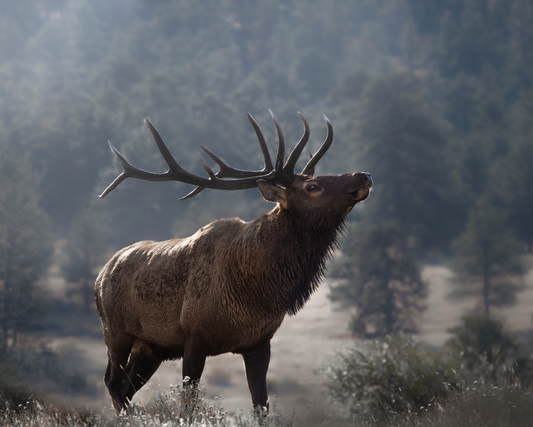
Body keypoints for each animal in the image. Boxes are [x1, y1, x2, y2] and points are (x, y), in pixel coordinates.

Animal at [94, 111, 370, 414]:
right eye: (312, 186)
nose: (364, 174)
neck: (257, 293)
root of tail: (100, 276)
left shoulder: (259, 342)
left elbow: (261, 405)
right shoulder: (194, 336)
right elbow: (188, 406)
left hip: (151, 347)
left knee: (126, 388)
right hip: (115, 332)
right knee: (112, 384)